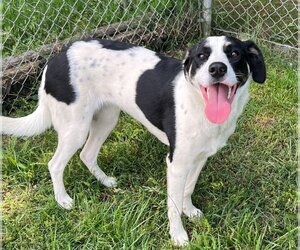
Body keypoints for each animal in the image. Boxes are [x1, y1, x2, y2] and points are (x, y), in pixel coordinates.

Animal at [1, 36, 266, 245]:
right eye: (202, 56)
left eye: (234, 53)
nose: (217, 69)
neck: (199, 103)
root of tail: (54, 59)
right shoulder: (176, 164)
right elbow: (172, 204)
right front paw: (178, 235)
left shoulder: (199, 157)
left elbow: (188, 189)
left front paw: (189, 210)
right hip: (75, 128)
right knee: (55, 164)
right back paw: (63, 200)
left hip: (106, 118)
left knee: (87, 154)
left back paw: (105, 181)